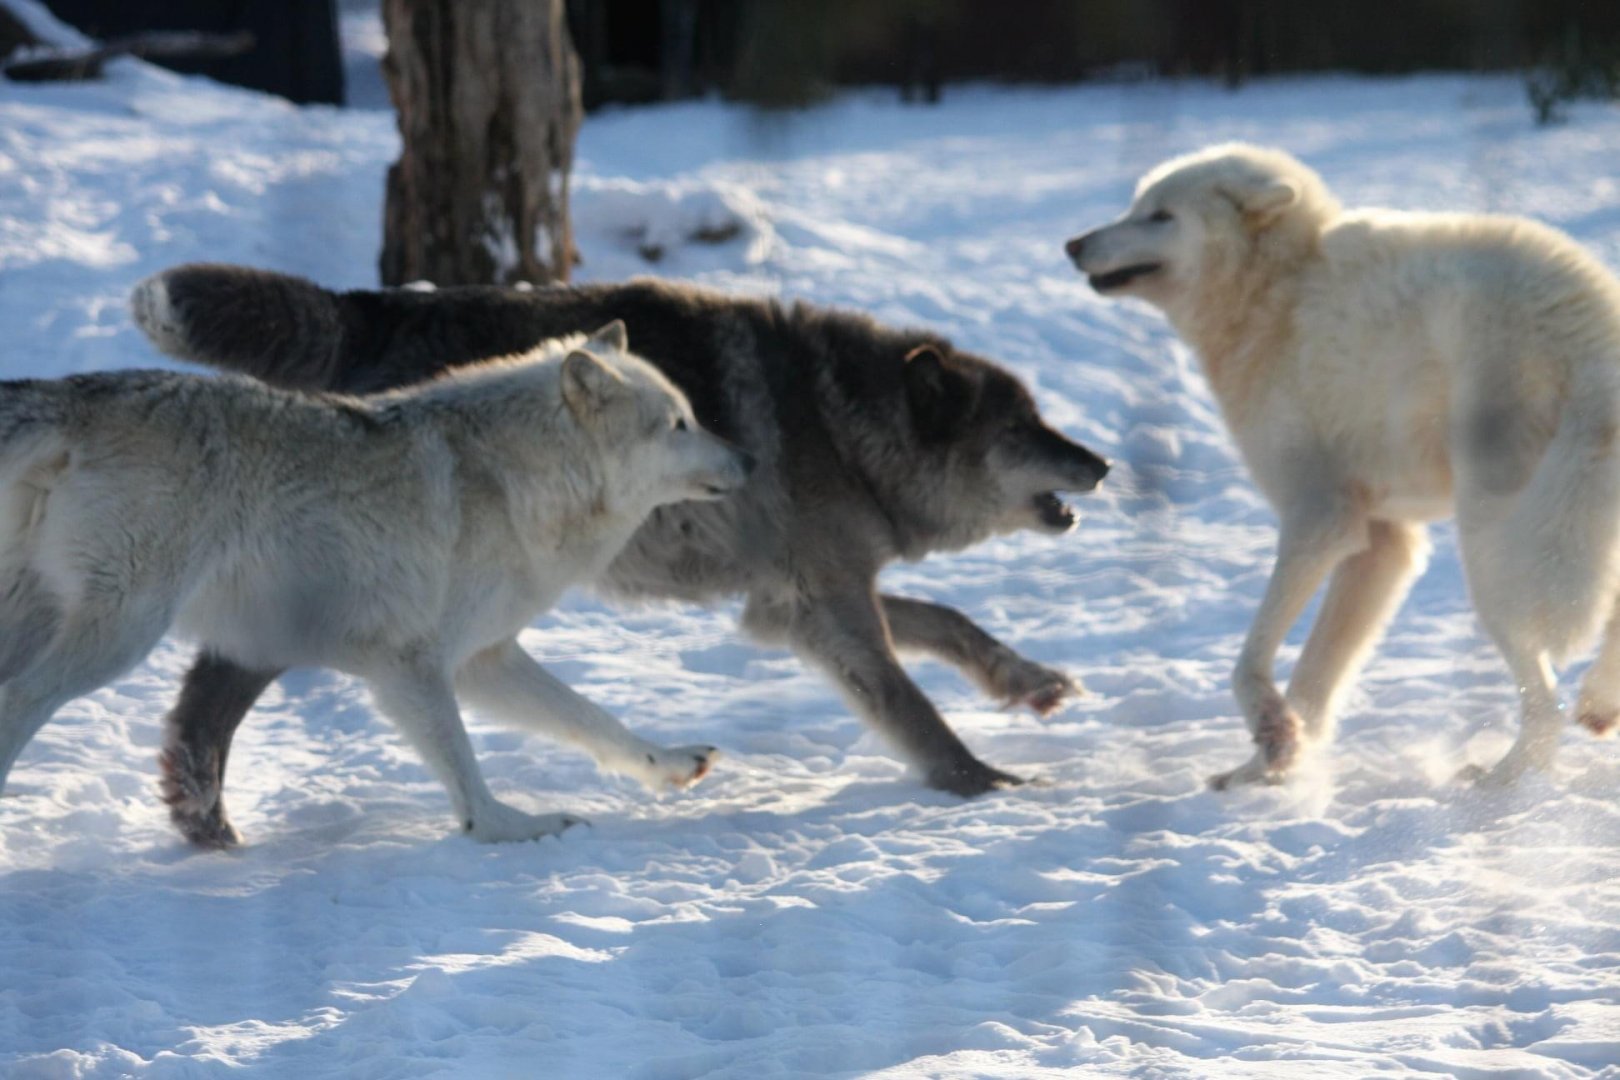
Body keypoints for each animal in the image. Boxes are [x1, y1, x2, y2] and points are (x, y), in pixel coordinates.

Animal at [0, 322, 754, 842]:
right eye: (678, 425)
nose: (748, 460)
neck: (522, 479)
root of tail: (72, 394)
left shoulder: (483, 659)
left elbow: (594, 718)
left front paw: (670, 764)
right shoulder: (412, 664)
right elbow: (467, 771)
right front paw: (510, 827)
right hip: (123, 636)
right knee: (18, 701)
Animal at [130, 264, 1110, 846]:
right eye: (1025, 429)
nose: (1102, 463)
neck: (838, 421)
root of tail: (372, 305)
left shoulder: (785, 605)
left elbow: (947, 621)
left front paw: (1028, 684)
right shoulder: (823, 604)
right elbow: (914, 707)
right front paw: (984, 785)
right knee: (211, 691)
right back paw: (203, 818)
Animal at [1067, 142, 1620, 789]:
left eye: (1160, 216)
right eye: (1135, 208)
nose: (1073, 244)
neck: (1276, 294)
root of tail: (1592, 344)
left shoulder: (1321, 519)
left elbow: (1249, 661)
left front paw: (1273, 742)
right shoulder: (1383, 543)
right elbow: (1314, 677)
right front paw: (1266, 766)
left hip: (1494, 554)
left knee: (1544, 704)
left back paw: (1499, 778)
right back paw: (1597, 707)